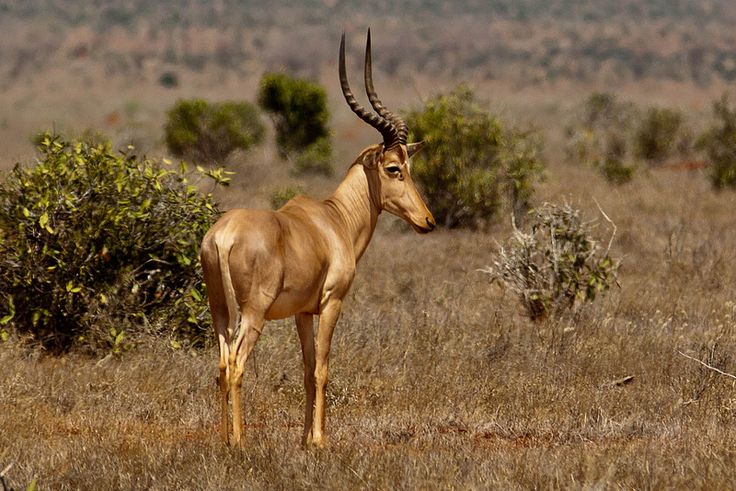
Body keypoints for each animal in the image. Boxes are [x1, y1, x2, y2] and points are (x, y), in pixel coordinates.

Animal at [198, 28, 434, 448]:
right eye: (394, 168)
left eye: (409, 164)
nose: (428, 220)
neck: (332, 220)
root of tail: (223, 237)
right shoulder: (331, 302)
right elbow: (323, 368)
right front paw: (319, 440)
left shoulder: (302, 312)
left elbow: (308, 369)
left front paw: (306, 438)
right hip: (253, 313)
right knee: (237, 364)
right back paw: (240, 442)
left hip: (220, 311)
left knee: (222, 364)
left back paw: (226, 439)